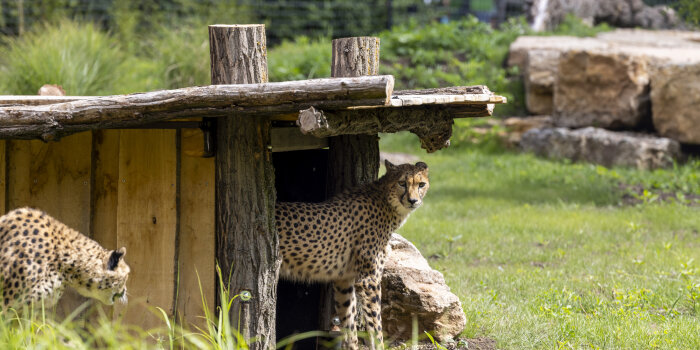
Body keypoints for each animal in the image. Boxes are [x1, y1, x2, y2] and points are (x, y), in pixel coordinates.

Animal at [276, 160, 430, 348]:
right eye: (402, 183)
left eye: (421, 184)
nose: (413, 200)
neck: (386, 200)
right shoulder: (369, 280)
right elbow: (376, 327)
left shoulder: (344, 280)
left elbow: (349, 325)